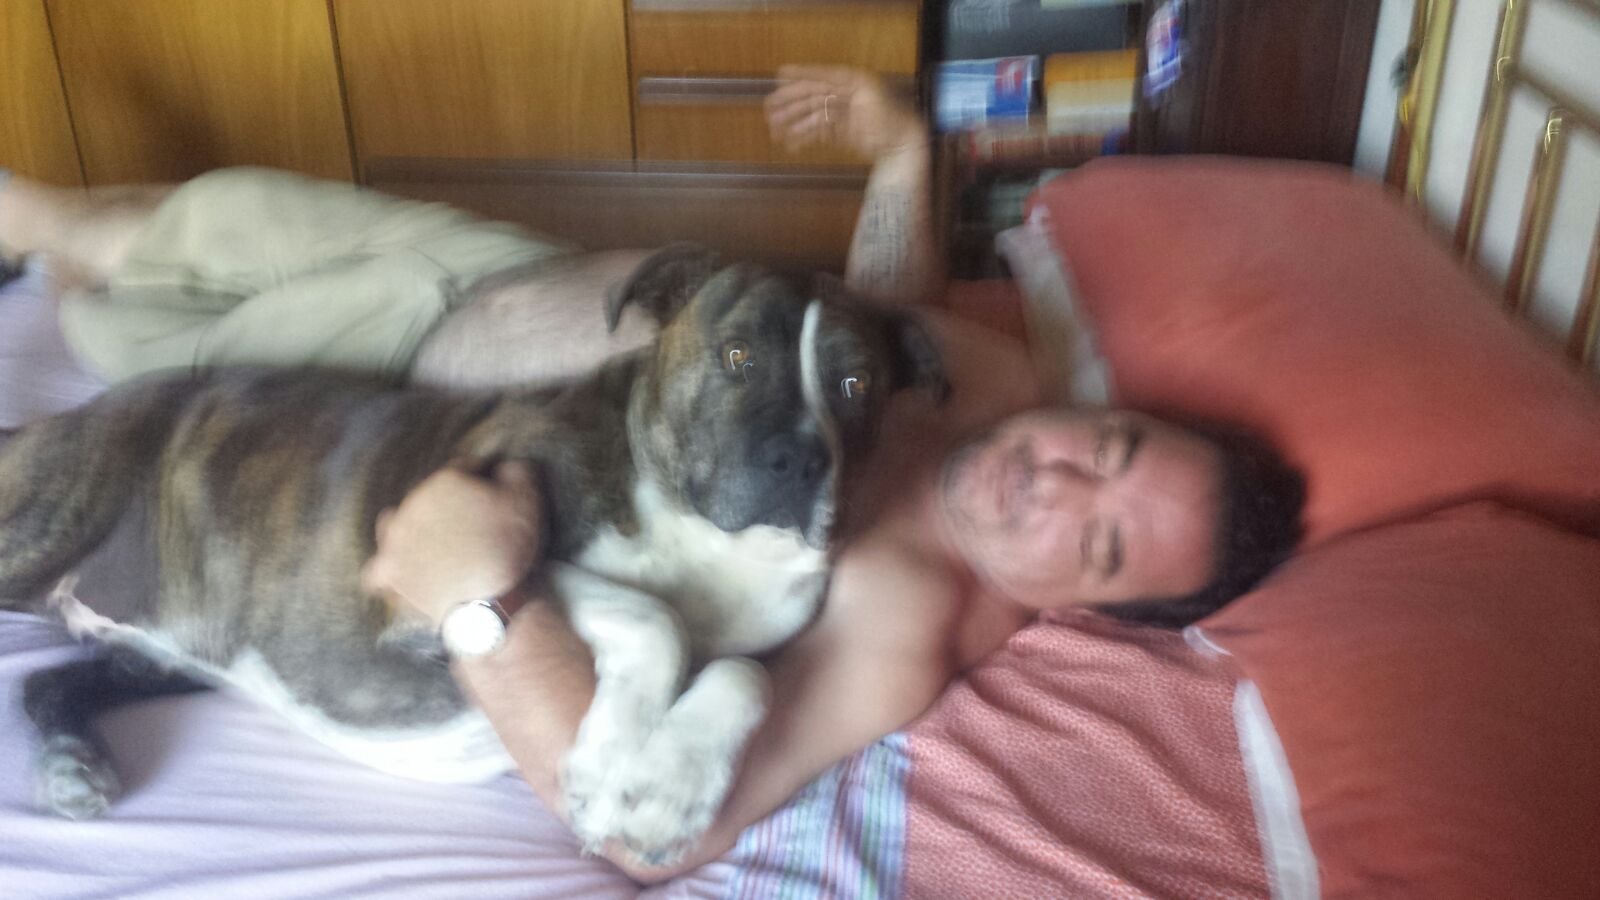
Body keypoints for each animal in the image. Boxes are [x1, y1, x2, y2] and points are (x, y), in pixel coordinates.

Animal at [0, 246, 947, 862]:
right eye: (738, 354)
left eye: (857, 384)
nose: (800, 460)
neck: (699, 534)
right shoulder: (420, 590)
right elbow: (656, 618)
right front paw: (610, 765)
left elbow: (741, 673)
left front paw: (670, 791)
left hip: (169, 647)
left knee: (50, 680)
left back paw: (73, 762)